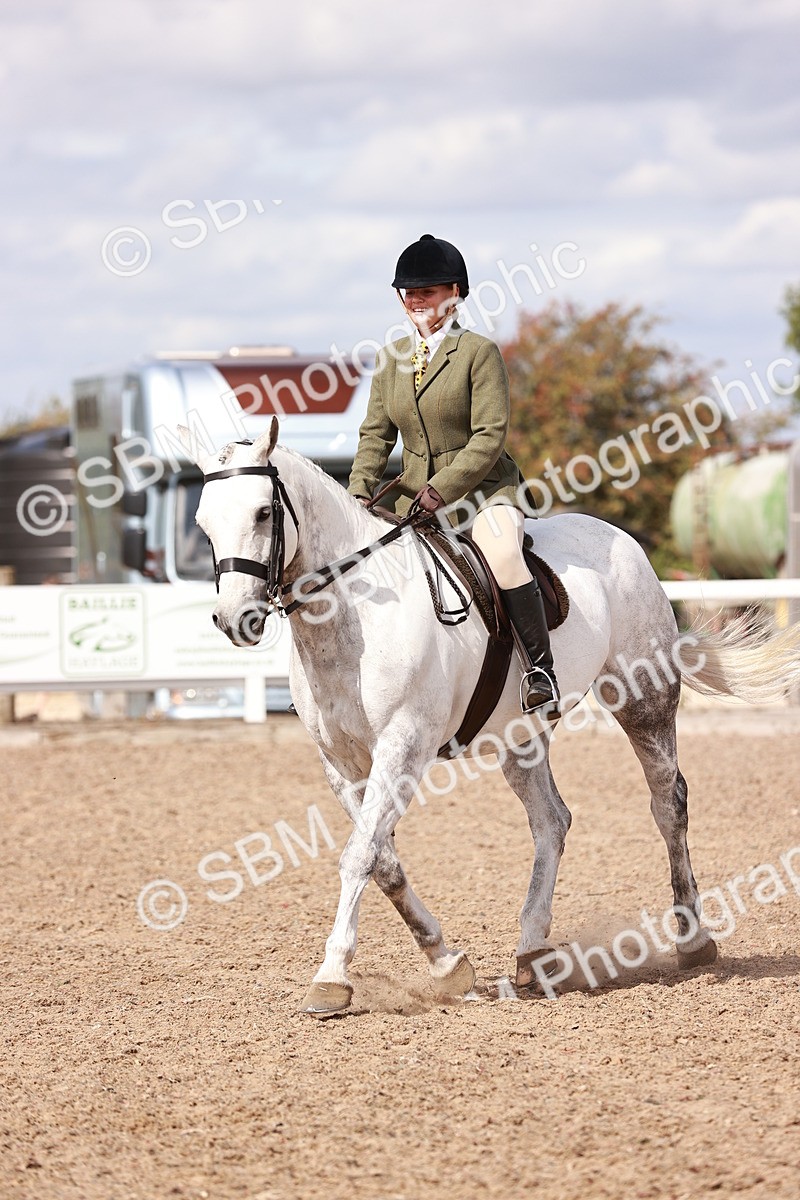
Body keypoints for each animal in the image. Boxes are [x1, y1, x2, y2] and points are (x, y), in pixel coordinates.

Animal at [179, 419, 800, 1015]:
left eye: (263, 512)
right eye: (204, 521)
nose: (235, 619)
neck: (352, 618)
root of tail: (621, 539)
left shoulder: (402, 747)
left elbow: (359, 856)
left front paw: (331, 979)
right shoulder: (340, 764)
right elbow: (383, 860)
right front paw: (446, 963)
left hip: (642, 698)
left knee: (667, 803)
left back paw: (693, 940)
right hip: (520, 736)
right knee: (552, 822)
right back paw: (533, 954)